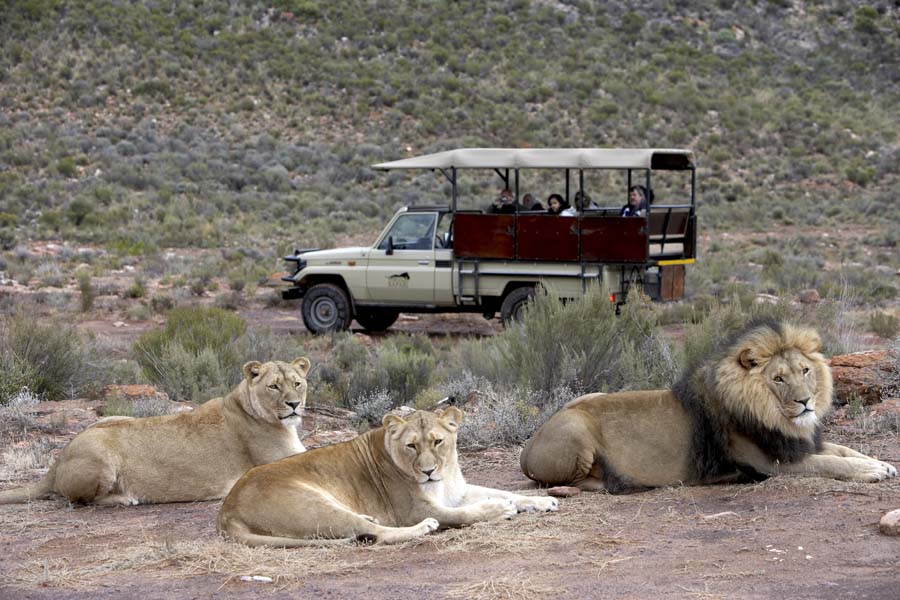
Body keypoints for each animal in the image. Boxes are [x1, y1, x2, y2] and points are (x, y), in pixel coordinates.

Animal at [0, 356, 312, 506]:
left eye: (297, 383)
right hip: (101, 456)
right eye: (274, 386)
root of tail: (59, 457)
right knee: (81, 500)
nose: (294, 404)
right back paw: (126, 498)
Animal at [215, 406, 560, 548]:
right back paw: (422, 528)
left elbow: (504, 491)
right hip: (314, 505)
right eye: (411, 446)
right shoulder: (416, 508)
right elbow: (464, 514)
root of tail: (226, 510)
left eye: (437, 441)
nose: (428, 471)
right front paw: (499, 510)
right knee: (374, 534)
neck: (445, 475)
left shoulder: (456, 492)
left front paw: (542, 502)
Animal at [516, 324, 896, 492]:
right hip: (576, 428)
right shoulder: (771, 463)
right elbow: (831, 462)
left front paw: (881, 463)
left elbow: (843, 450)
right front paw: (872, 472)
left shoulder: (796, 444)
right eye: (778, 378)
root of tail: (528, 446)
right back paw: (616, 481)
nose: (806, 402)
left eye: (805, 370)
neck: (777, 417)